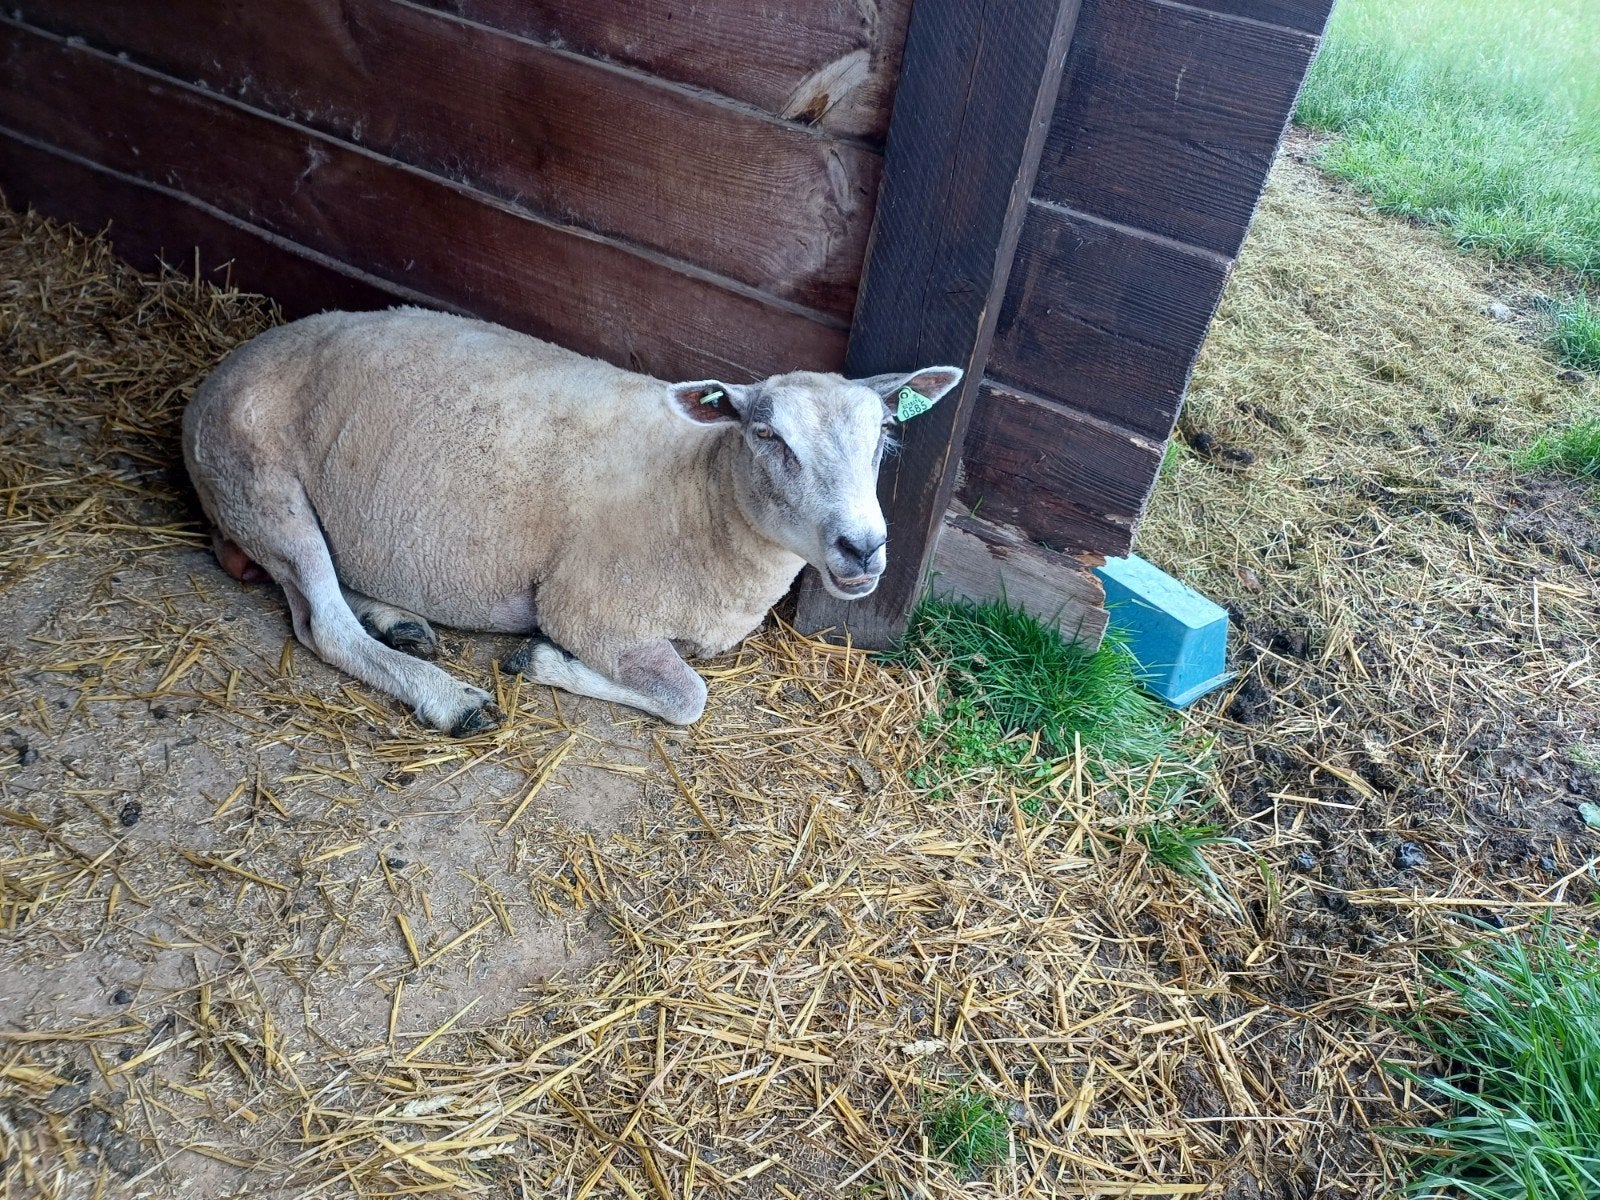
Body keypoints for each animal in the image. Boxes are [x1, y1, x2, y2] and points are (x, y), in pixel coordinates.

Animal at [182, 308, 961, 735]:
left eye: (884, 435)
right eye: (768, 437)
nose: (863, 548)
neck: (701, 495)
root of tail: (219, 372)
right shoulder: (590, 608)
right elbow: (688, 697)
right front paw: (542, 661)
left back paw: (397, 619)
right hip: (260, 484)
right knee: (323, 626)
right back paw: (446, 697)